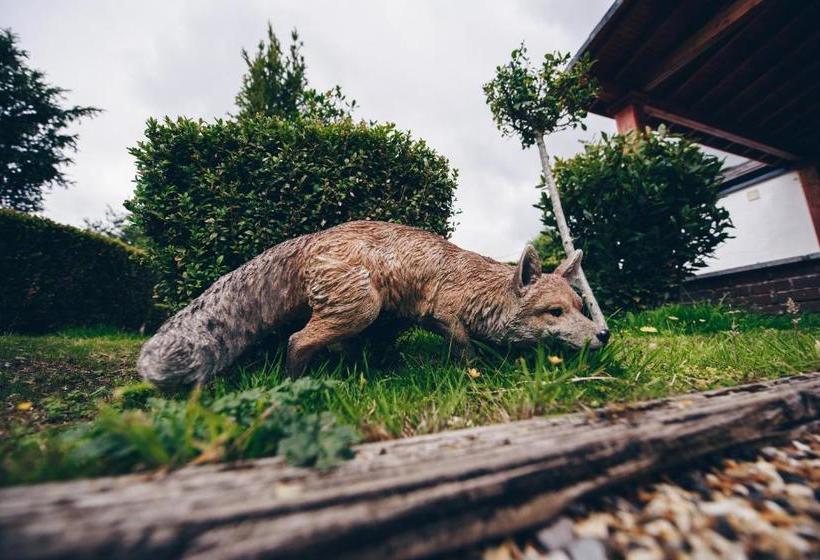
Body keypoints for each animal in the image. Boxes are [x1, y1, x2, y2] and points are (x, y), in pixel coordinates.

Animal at [138, 220, 609, 387]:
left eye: (581, 307)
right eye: (555, 312)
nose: (604, 335)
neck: (476, 287)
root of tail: (312, 238)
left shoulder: (412, 317)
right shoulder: (445, 315)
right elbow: (464, 348)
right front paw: (474, 372)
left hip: (371, 314)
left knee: (341, 348)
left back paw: (358, 373)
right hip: (359, 308)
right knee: (296, 341)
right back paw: (295, 387)